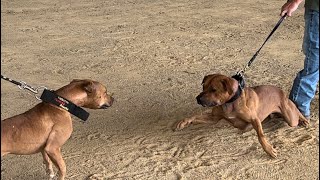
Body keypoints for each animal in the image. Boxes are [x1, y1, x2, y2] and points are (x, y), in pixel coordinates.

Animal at [176, 73, 308, 158]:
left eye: (214, 89)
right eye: (203, 87)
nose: (197, 99)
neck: (229, 103)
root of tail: (281, 91)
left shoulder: (254, 119)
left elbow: (261, 136)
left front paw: (269, 149)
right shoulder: (213, 118)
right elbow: (195, 117)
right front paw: (183, 122)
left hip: (291, 117)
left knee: (296, 110)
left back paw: (304, 120)